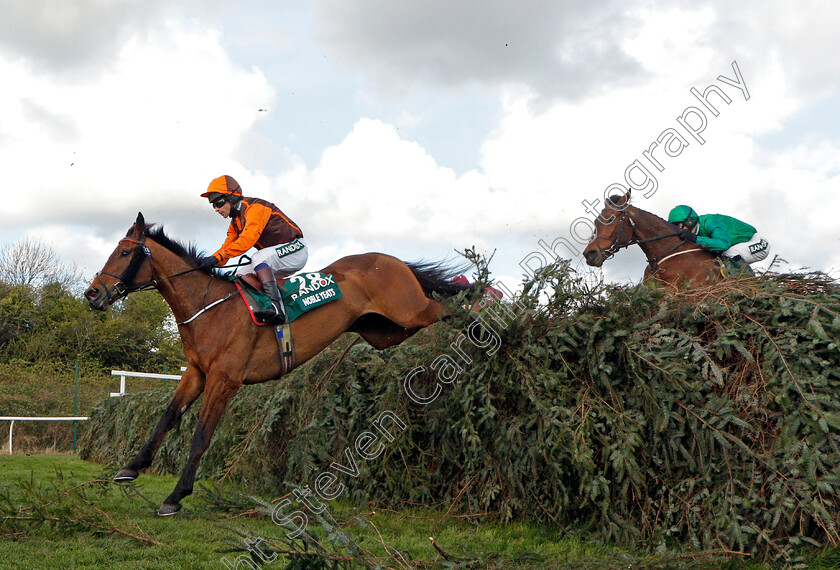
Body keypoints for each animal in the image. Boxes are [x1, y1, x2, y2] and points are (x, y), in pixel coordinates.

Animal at [84, 213, 472, 516]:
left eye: (124, 252)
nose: (92, 294)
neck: (209, 307)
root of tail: (393, 260)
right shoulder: (197, 373)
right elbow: (167, 417)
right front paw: (131, 468)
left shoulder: (224, 380)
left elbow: (200, 435)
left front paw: (176, 496)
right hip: (385, 331)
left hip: (410, 311)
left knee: (452, 308)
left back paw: (480, 322)